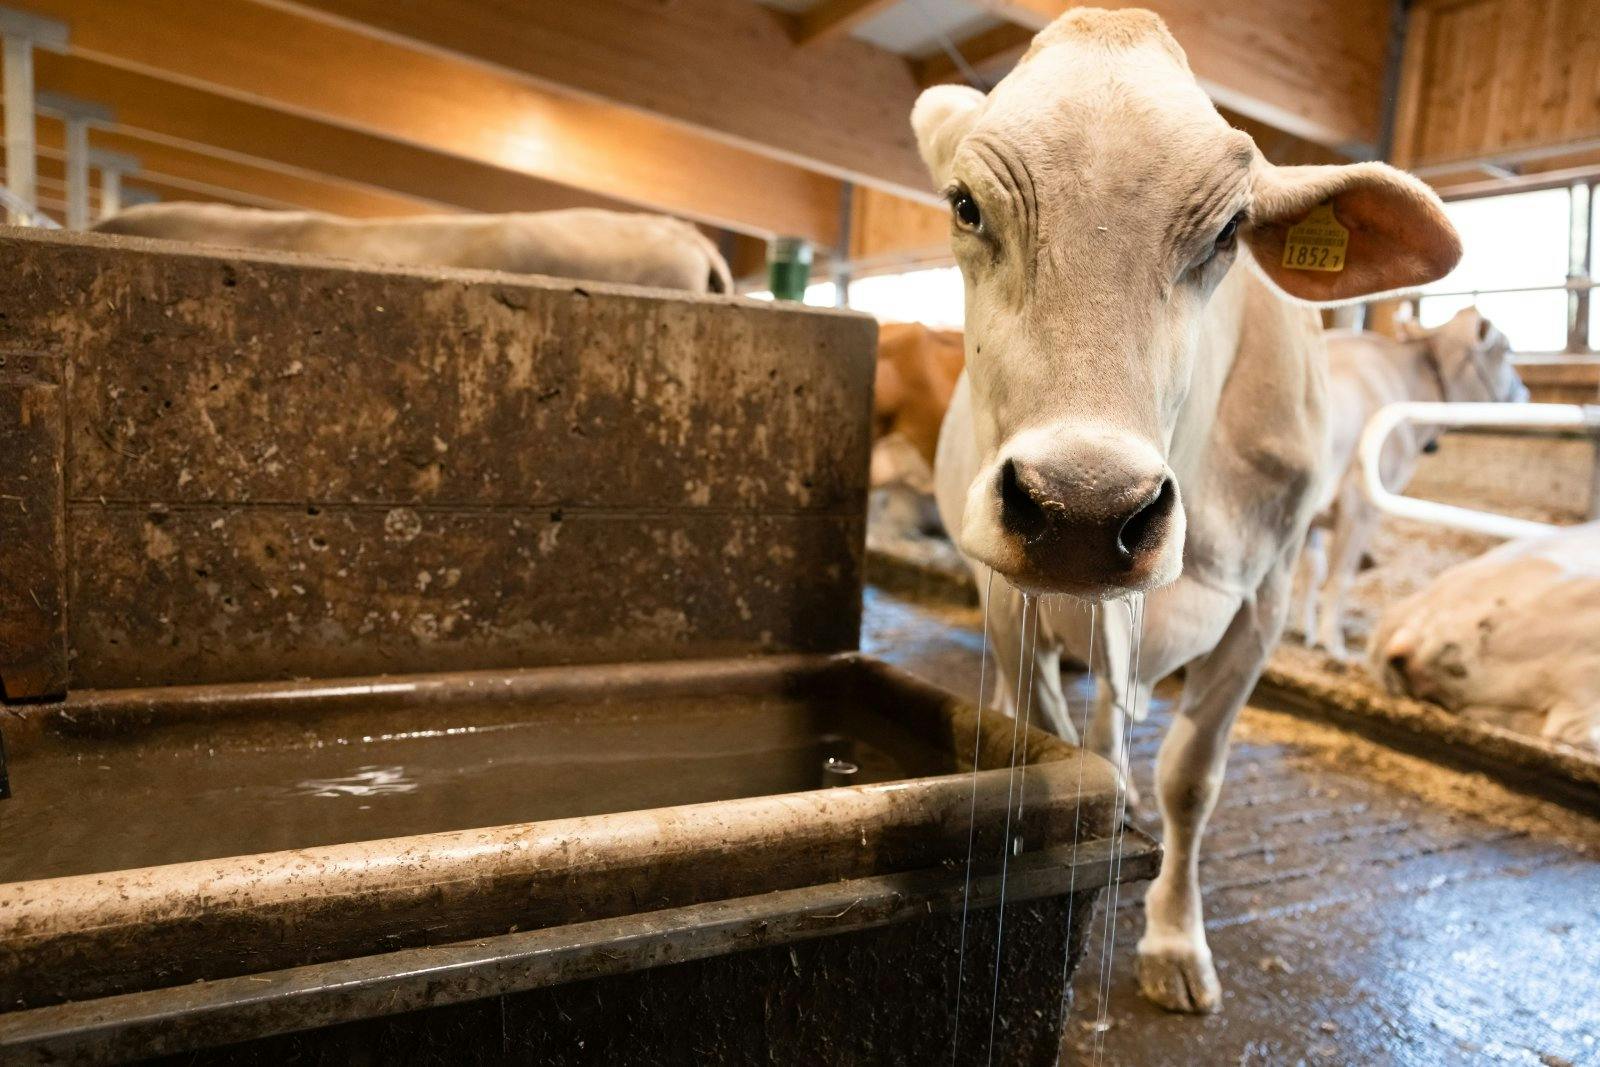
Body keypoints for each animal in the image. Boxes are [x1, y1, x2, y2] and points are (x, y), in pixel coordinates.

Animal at [918, 8, 1460, 1012]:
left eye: (1228, 231)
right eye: (966, 205)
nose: (1084, 505)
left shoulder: (1265, 601)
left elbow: (1191, 779)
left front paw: (1175, 940)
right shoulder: (1009, 588)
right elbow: (1055, 743)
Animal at [1297, 309, 1527, 657]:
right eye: (1508, 349)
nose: (1525, 391)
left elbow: (1312, 570)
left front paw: (1303, 631)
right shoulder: (1361, 501)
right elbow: (1340, 576)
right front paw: (1332, 644)